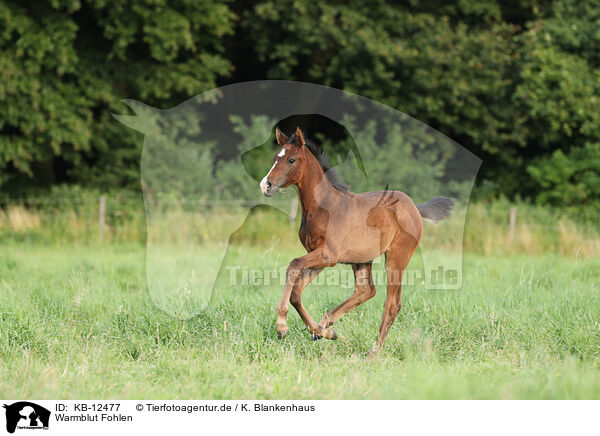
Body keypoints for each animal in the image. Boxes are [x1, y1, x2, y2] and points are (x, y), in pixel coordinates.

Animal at [258, 126, 454, 354]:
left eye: (291, 160)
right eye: (275, 158)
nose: (266, 185)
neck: (322, 206)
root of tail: (414, 207)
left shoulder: (328, 255)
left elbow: (292, 265)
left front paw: (281, 327)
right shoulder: (318, 256)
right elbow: (296, 292)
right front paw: (321, 331)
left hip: (397, 257)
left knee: (392, 303)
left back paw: (373, 353)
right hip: (362, 259)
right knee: (365, 290)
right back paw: (327, 326)